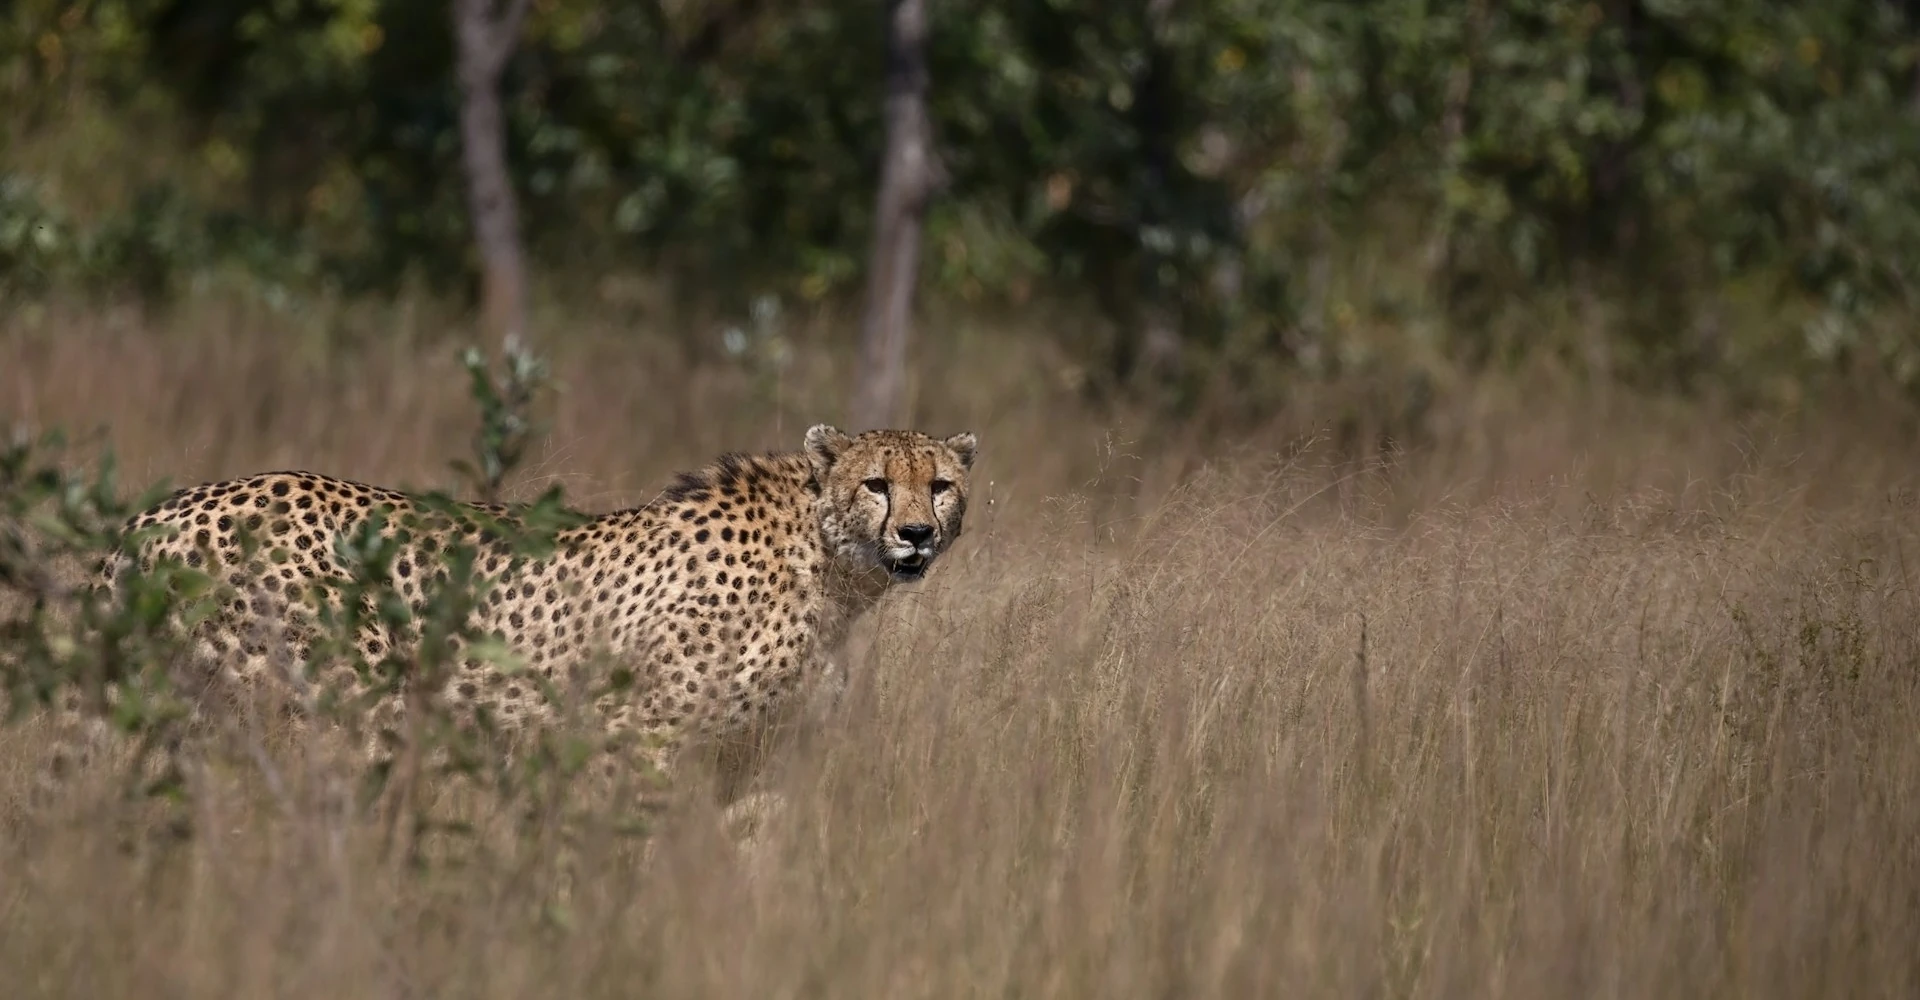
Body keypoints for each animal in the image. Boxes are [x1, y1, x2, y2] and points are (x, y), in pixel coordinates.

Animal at [30, 424, 977, 823]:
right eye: (877, 484)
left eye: (940, 485)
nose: (917, 535)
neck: (831, 574)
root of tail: (170, 506)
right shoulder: (627, 739)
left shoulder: (762, 766)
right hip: (345, 713)